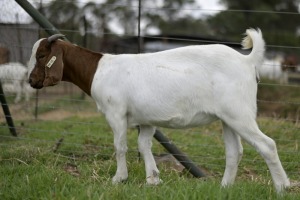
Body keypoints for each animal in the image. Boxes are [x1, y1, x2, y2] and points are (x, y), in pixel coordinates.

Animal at [28, 28, 290, 192]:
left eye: (41, 55)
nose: (31, 81)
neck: (99, 70)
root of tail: (247, 61)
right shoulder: (146, 120)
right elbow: (144, 145)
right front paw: (153, 179)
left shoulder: (116, 113)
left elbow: (120, 146)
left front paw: (118, 178)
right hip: (228, 118)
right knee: (235, 151)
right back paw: (224, 187)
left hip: (240, 113)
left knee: (267, 145)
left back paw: (282, 187)